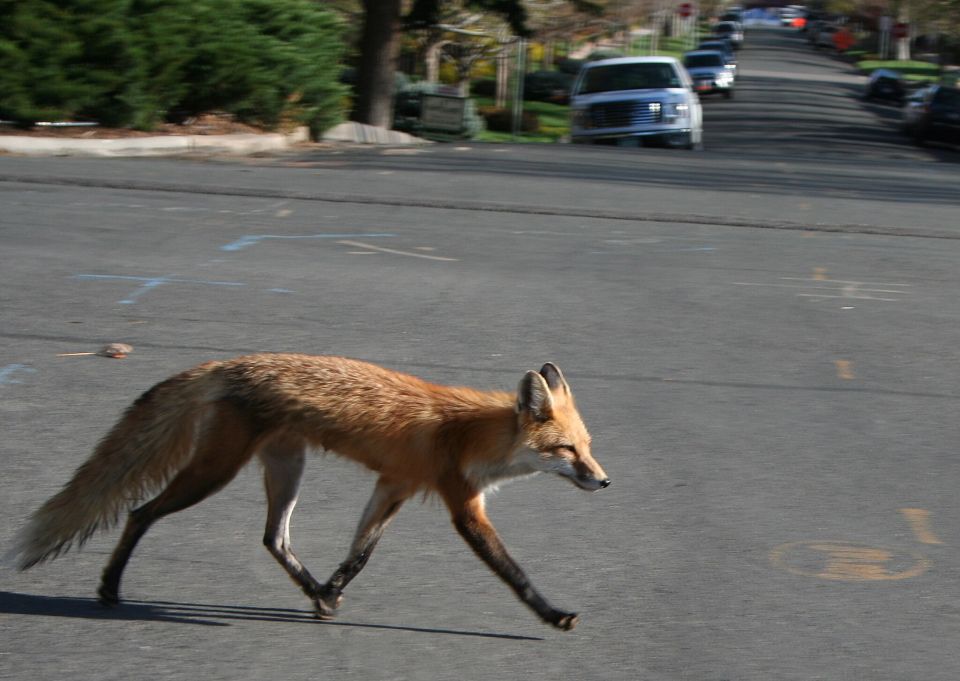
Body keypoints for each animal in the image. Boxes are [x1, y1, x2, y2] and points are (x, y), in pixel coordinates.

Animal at [5, 354, 608, 628]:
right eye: (566, 451)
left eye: (587, 446)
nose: (605, 481)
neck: (467, 433)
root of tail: (224, 364)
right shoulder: (462, 505)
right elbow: (514, 573)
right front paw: (553, 615)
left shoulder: (395, 485)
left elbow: (359, 555)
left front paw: (331, 592)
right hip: (213, 473)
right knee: (138, 512)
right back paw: (109, 587)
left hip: (285, 470)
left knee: (273, 539)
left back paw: (313, 589)